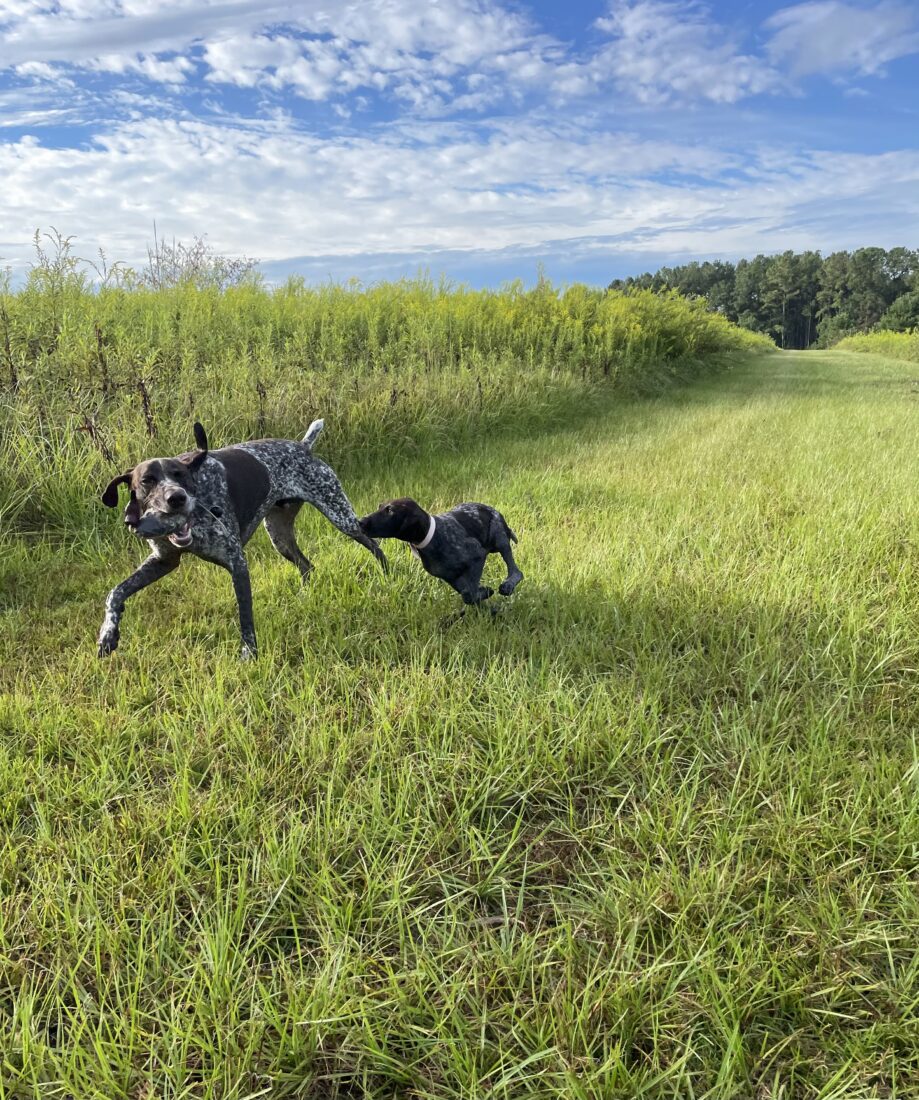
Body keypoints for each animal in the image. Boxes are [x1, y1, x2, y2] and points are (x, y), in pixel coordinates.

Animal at [99, 420, 387, 660]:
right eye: (147, 480)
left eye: (180, 475)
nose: (176, 498)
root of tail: (303, 447)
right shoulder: (163, 561)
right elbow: (116, 592)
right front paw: (108, 633)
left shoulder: (237, 564)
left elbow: (245, 617)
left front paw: (249, 654)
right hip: (280, 537)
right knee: (307, 566)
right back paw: (305, 597)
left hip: (341, 517)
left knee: (375, 546)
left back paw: (387, 576)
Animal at [356, 499, 521, 611]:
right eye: (380, 507)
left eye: (390, 511)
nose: (360, 521)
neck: (432, 538)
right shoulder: (451, 577)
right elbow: (468, 594)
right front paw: (485, 599)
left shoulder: (477, 556)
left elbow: (469, 593)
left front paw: (486, 593)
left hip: (499, 538)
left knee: (516, 571)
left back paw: (508, 585)